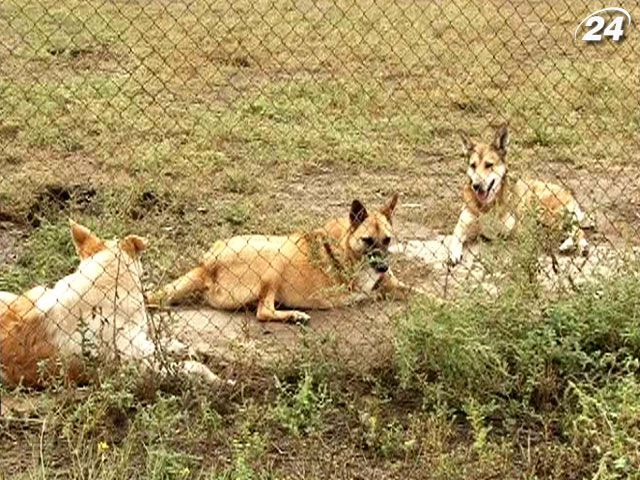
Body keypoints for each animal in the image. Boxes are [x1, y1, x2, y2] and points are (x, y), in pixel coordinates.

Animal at [0, 221, 221, 390]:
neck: (105, 282)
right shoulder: (142, 366)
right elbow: (193, 366)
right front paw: (218, 379)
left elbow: (167, 345)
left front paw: (186, 347)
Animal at [147, 193, 418, 320]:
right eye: (367, 240)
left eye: (387, 240)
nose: (382, 267)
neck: (347, 246)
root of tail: (205, 264)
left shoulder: (392, 282)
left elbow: (420, 293)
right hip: (275, 259)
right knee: (263, 312)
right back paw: (294, 316)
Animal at [450, 125, 592, 264]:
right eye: (473, 166)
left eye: (489, 165)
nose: (476, 185)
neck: (486, 206)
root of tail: (567, 192)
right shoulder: (463, 225)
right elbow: (455, 237)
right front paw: (454, 253)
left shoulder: (513, 230)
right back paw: (568, 244)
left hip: (544, 212)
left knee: (576, 229)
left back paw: (580, 245)